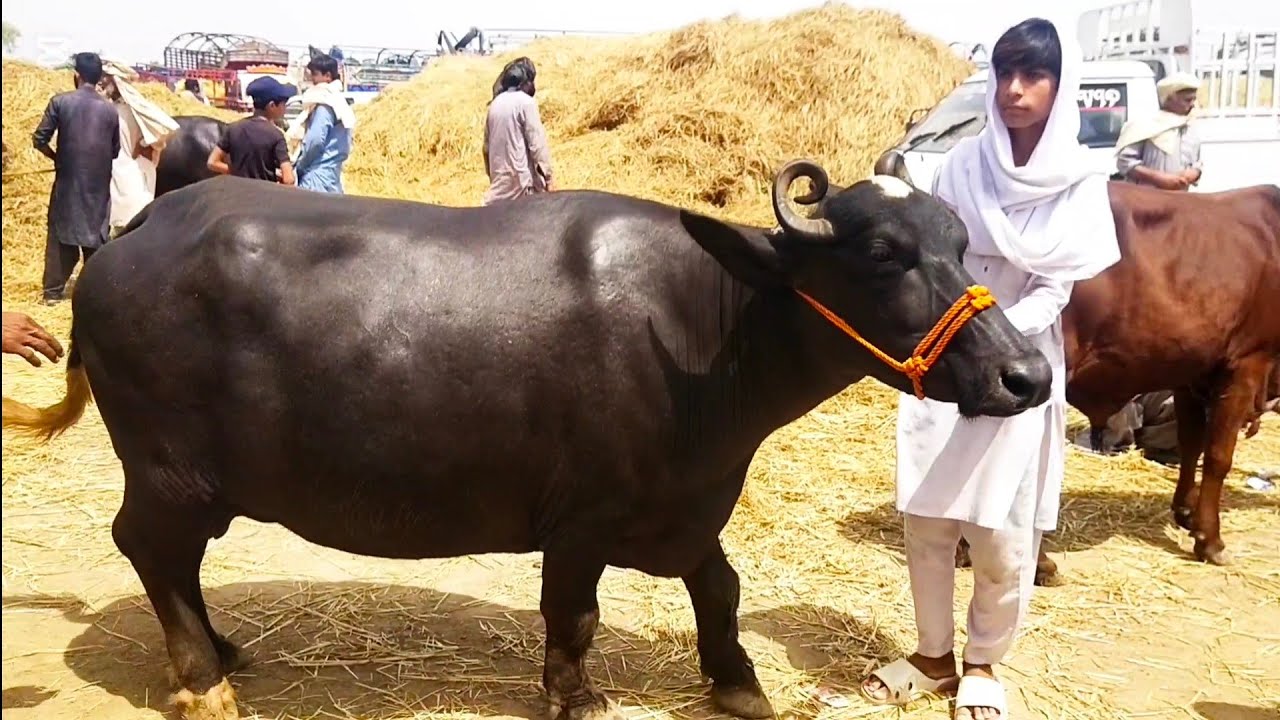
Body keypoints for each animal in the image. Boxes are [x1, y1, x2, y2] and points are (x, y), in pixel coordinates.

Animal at [1, 163, 1052, 720]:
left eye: (960, 245)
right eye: (881, 256)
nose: (1025, 377)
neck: (704, 332)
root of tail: (137, 228)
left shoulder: (682, 508)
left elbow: (721, 588)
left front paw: (738, 684)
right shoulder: (579, 522)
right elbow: (573, 618)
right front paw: (576, 698)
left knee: (176, 565)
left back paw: (223, 649)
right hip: (169, 473)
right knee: (148, 548)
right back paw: (202, 681)